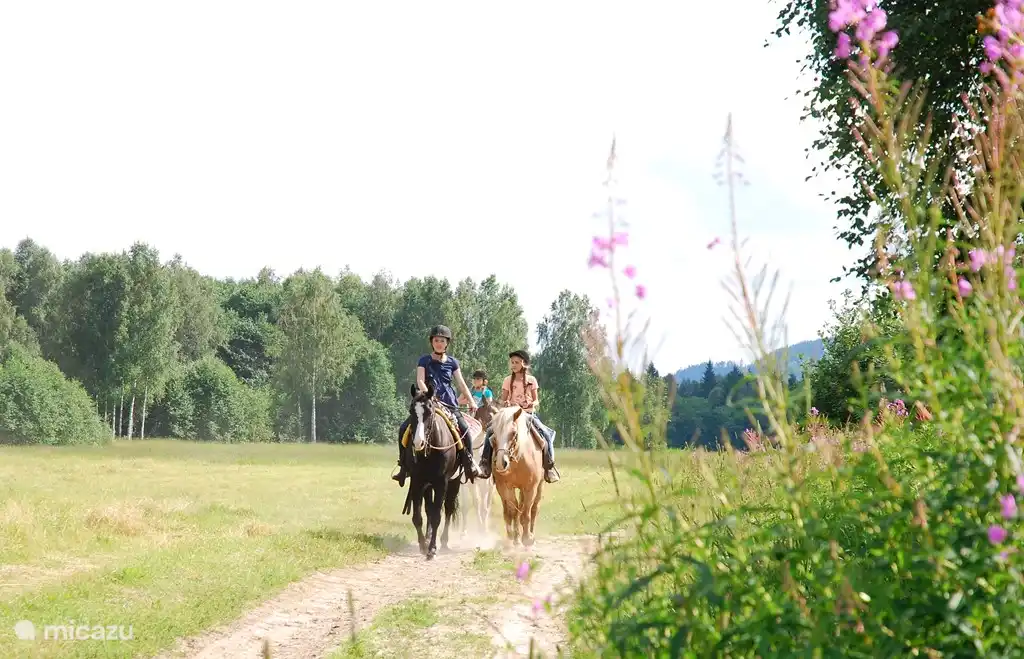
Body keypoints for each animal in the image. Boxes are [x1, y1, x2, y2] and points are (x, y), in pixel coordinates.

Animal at [400, 382, 462, 560]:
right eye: (411, 411)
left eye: (429, 411)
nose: (418, 443)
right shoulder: (417, 481)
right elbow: (418, 517)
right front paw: (423, 545)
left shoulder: (442, 482)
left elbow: (437, 517)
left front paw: (432, 549)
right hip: (428, 485)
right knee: (429, 508)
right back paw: (427, 538)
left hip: (454, 482)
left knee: (448, 509)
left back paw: (444, 541)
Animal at [460, 400, 498, 537]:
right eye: (490, 416)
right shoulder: (467, 483)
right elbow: (471, 505)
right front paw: (465, 531)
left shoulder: (485, 483)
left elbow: (483, 506)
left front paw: (483, 529)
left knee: (487, 504)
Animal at [487, 405, 546, 548]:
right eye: (494, 434)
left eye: (513, 433)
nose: (501, 463)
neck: (519, 458)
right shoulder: (505, 487)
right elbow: (514, 512)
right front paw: (516, 538)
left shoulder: (530, 487)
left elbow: (526, 512)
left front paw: (527, 538)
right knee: (511, 510)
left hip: (539, 486)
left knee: (534, 508)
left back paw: (531, 533)